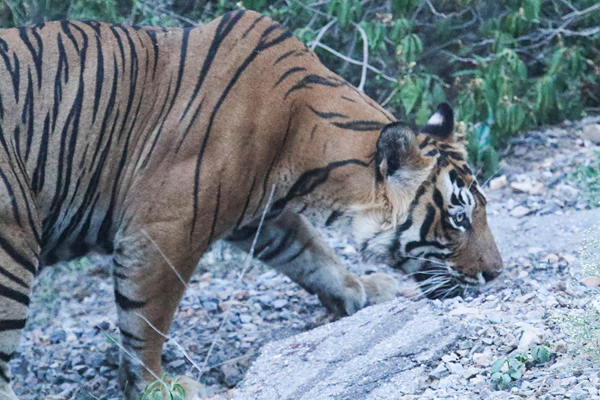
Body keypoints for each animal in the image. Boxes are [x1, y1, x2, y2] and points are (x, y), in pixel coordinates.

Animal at [0, 10, 504, 400]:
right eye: (458, 218)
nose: (497, 274)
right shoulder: (164, 228)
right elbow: (147, 318)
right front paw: (157, 385)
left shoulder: (261, 217)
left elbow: (313, 255)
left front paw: (362, 289)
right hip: (13, 246)